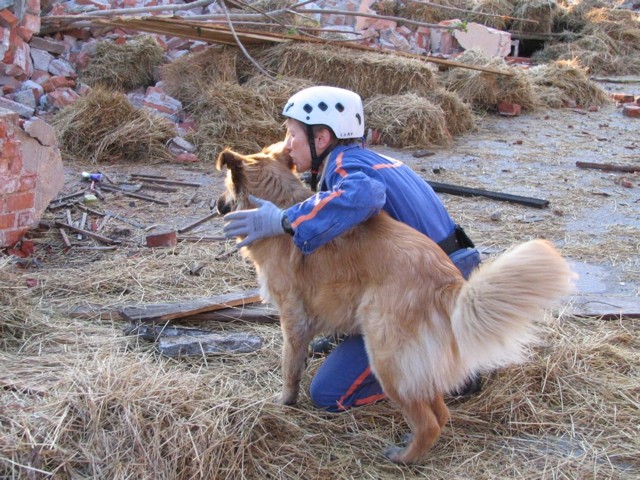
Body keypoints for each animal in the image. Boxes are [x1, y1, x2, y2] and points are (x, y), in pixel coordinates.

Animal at [218, 143, 576, 464]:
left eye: (224, 186)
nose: (216, 204)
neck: (278, 202)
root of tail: (447, 281)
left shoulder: (292, 319)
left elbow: (290, 368)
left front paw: (285, 401)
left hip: (386, 359)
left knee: (428, 421)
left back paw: (406, 457)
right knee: (439, 409)